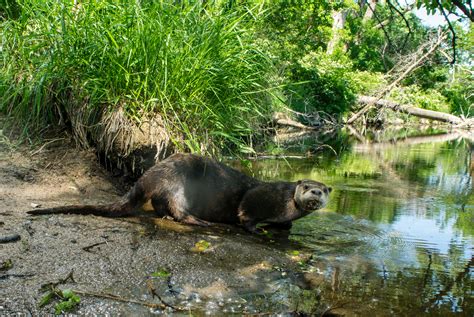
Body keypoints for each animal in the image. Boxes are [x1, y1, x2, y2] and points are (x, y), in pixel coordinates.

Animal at [25, 153, 330, 232]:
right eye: (306, 187)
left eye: (323, 190)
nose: (316, 193)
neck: (284, 203)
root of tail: (151, 173)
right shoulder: (260, 195)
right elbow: (246, 211)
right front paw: (256, 229)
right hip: (177, 184)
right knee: (177, 209)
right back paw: (200, 221)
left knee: (162, 206)